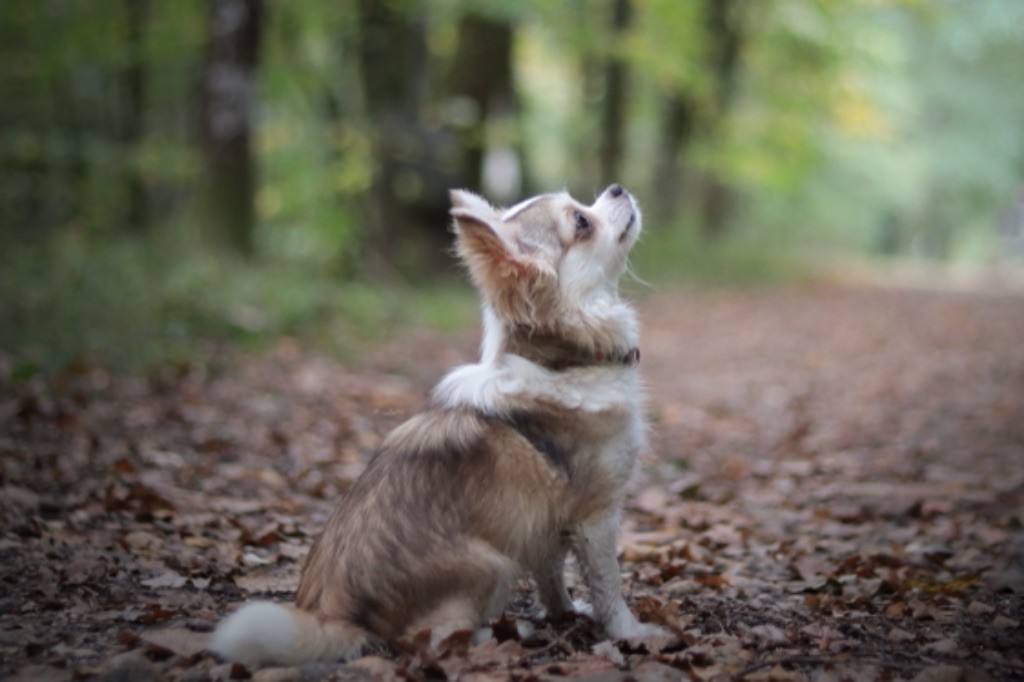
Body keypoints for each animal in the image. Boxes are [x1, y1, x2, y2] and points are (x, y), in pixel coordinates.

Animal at [211, 183, 667, 659]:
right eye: (581, 221)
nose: (616, 188)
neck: (563, 362)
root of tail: (340, 617)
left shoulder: (538, 521)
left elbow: (551, 576)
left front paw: (564, 612)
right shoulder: (597, 516)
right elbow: (608, 585)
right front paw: (631, 631)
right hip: (492, 563)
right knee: (431, 638)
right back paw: (502, 634)